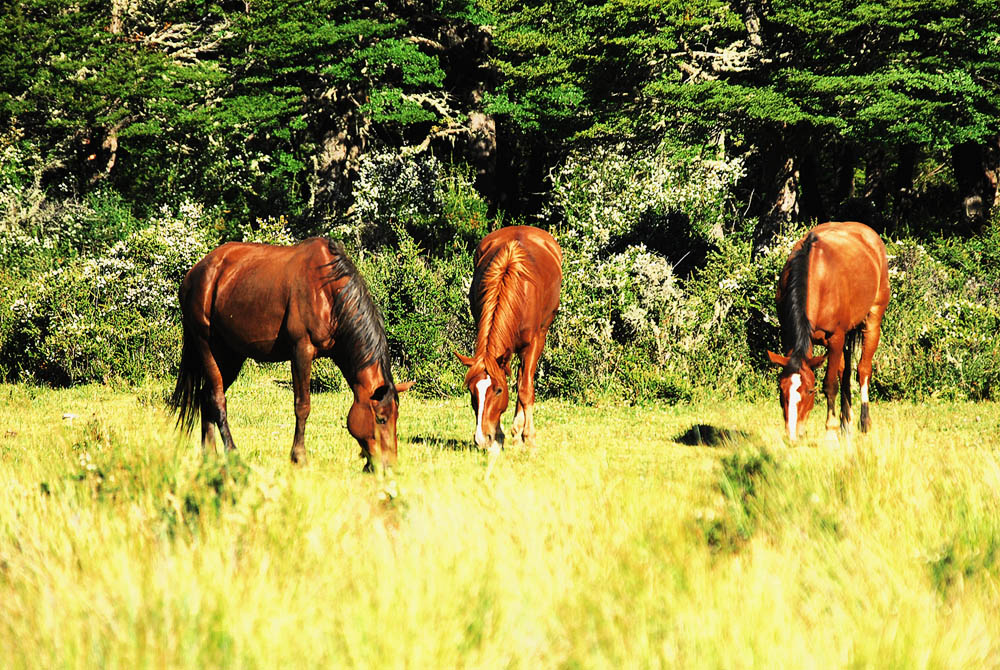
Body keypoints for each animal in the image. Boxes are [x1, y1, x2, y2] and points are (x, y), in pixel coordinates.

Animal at [170, 238, 412, 472]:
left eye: (397, 417)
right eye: (381, 419)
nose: (390, 466)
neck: (328, 294)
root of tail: (195, 273)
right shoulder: (301, 351)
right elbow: (302, 406)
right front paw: (299, 457)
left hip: (231, 355)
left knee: (205, 396)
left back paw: (209, 455)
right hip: (206, 345)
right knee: (217, 399)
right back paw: (232, 452)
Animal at [456, 226, 564, 452]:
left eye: (498, 391)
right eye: (471, 390)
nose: (481, 438)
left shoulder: (532, 344)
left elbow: (525, 390)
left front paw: (529, 438)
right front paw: (499, 436)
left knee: (524, 381)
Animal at [764, 222, 892, 440]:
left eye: (810, 391)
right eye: (781, 391)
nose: (792, 434)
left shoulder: (835, 338)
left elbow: (830, 384)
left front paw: (830, 431)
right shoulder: (791, 336)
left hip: (873, 320)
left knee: (863, 370)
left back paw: (864, 423)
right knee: (845, 373)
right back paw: (846, 423)